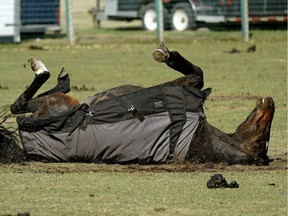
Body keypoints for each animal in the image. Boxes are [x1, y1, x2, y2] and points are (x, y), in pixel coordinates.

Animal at [6, 44, 276, 165]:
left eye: (262, 139)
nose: (272, 101)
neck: (199, 135)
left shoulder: (183, 85)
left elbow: (198, 73)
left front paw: (166, 55)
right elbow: (199, 72)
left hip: (53, 105)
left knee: (20, 104)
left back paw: (44, 70)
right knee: (21, 104)